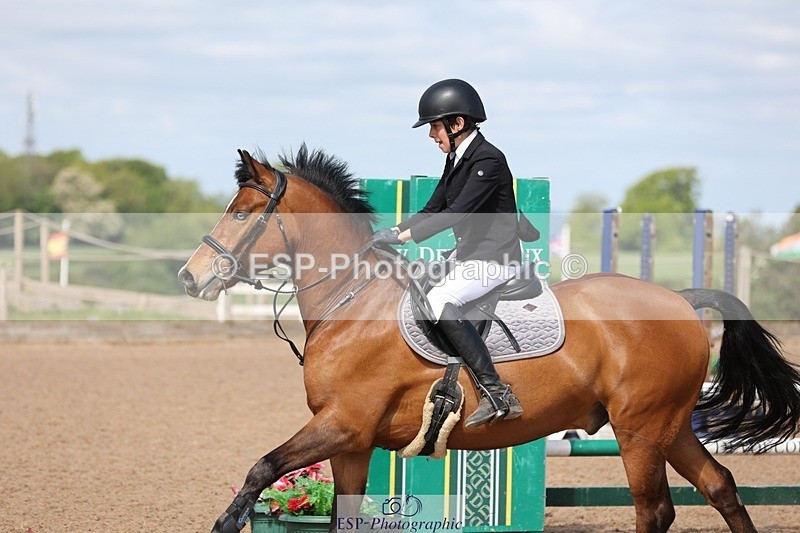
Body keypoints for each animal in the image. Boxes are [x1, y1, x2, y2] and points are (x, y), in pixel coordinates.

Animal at [178, 146, 800, 533]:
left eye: (241, 213)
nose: (189, 277)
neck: (353, 302)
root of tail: (678, 300)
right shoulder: (352, 443)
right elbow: (340, 516)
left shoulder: (344, 424)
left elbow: (262, 468)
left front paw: (226, 521)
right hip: (669, 425)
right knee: (720, 486)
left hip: (640, 429)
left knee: (655, 511)